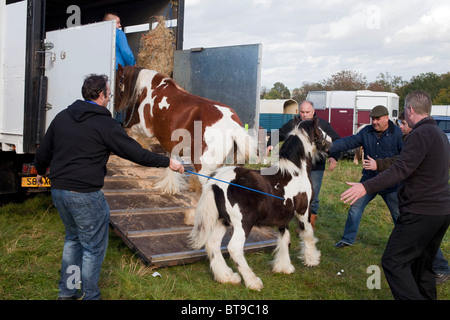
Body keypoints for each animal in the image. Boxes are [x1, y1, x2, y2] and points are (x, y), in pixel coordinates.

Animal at [114, 66, 256, 194]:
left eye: (117, 83)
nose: (115, 107)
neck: (153, 88)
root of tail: (234, 127)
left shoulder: (145, 128)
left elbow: (134, 133)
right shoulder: (171, 144)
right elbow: (172, 161)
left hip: (205, 169)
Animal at [188, 117, 332, 290]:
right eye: (320, 130)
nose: (331, 142)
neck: (295, 171)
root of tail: (215, 183)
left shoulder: (283, 218)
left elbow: (285, 240)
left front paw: (284, 267)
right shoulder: (303, 212)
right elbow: (308, 234)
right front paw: (312, 259)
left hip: (222, 221)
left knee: (212, 244)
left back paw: (227, 277)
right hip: (243, 224)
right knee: (234, 249)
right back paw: (253, 281)